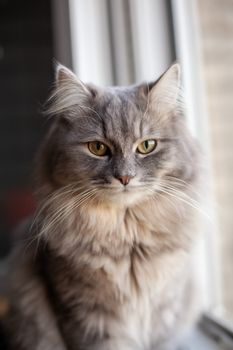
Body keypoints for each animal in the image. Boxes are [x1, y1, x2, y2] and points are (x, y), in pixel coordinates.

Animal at [0, 63, 201, 350]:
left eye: (147, 146)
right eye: (97, 148)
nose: (125, 177)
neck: (127, 238)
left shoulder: (164, 311)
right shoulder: (87, 313)